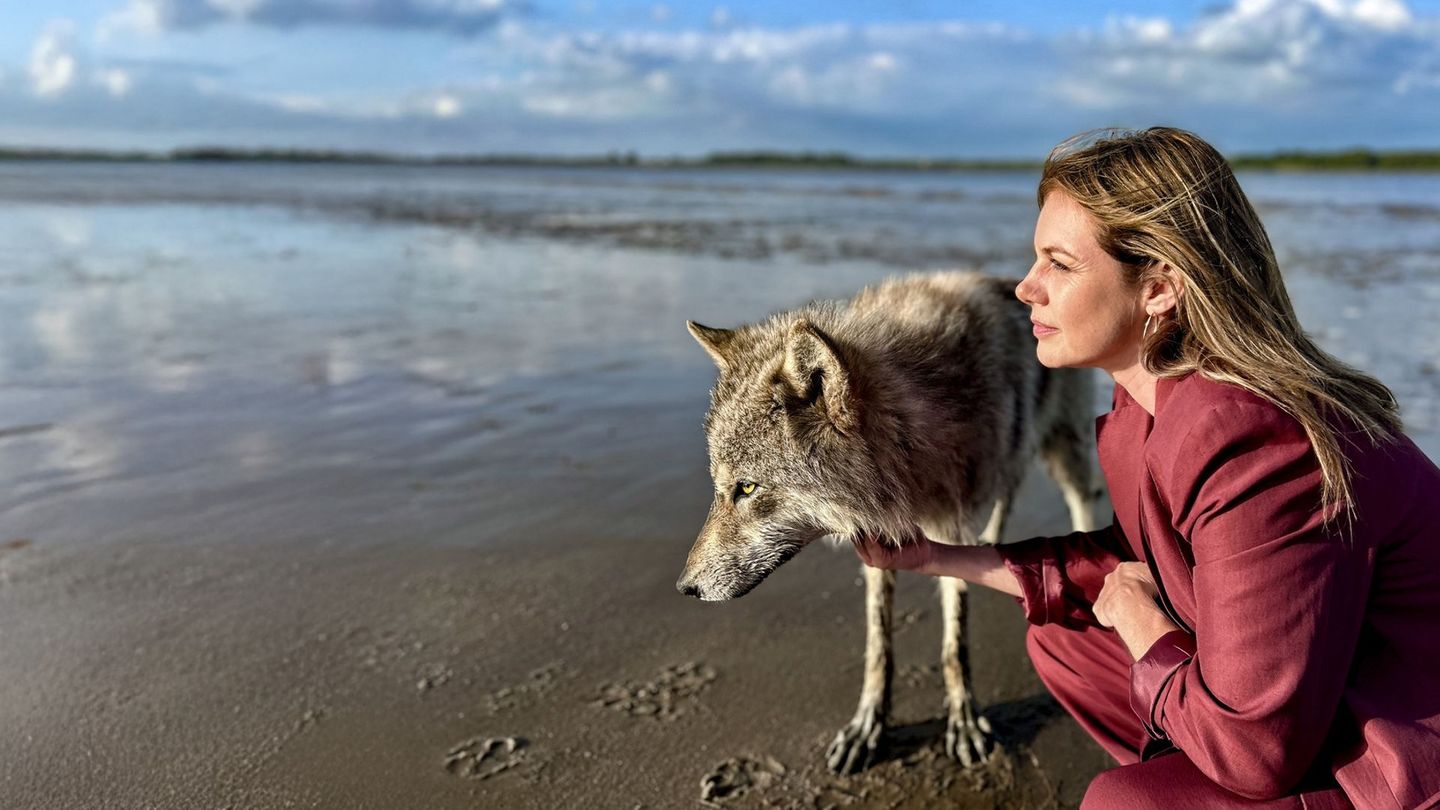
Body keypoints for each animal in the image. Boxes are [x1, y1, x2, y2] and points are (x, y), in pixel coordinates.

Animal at [675, 271, 1100, 773]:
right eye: (722, 487)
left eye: (747, 488)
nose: (685, 588)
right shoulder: (882, 545)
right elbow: (879, 648)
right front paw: (868, 727)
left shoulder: (949, 529)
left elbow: (953, 644)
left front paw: (964, 721)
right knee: (1008, 491)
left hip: (1065, 448)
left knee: (1079, 499)